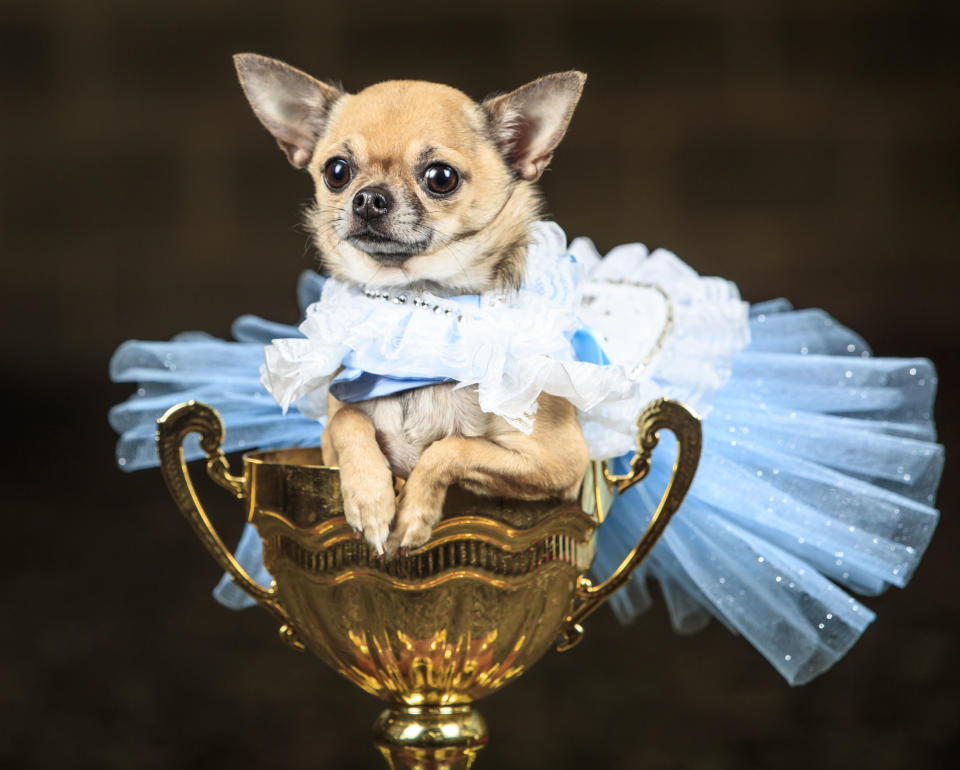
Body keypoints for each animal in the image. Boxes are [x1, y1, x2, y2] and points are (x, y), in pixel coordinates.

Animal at [236, 54, 588, 556]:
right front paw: (370, 498)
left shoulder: (559, 466)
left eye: (441, 178)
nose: (368, 198)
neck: (415, 305)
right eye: (337, 172)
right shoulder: (326, 446)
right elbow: (348, 421)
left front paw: (414, 515)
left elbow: (450, 448)